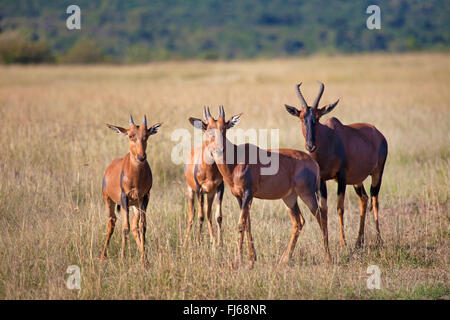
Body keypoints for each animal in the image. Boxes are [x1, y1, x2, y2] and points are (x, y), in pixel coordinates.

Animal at [100, 114, 162, 264]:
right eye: (130, 135)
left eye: (146, 135)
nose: (141, 157)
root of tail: (109, 167)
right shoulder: (124, 198)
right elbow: (125, 227)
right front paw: (122, 259)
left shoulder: (144, 197)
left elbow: (142, 226)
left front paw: (145, 260)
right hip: (109, 200)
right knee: (112, 222)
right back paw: (102, 256)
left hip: (135, 204)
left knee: (135, 226)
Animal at [183, 109, 225, 246]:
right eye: (209, 129)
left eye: (224, 127)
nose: (219, 150)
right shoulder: (198, 189)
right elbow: (200, 216)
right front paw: (197, 242)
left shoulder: (220, 189)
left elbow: (218, 216)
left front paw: (219, 243)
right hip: (190, 191)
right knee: (192, 215)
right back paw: (185, 243)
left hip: (210, 194)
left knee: (208, 213)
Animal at [284, 82, 386, 248]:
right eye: (301, 117)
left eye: (317, 118)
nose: (310, 146)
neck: (329, 139)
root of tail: (378, 133)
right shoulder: (322, 180)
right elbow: (324, 210)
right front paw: (325, 241)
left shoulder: (342, 177)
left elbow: (340, 208)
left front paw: (342, 242)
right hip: (357, 180)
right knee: (364, 199)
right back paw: (359, 241)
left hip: (377, 173)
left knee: (375, 200)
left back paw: (379, 240)